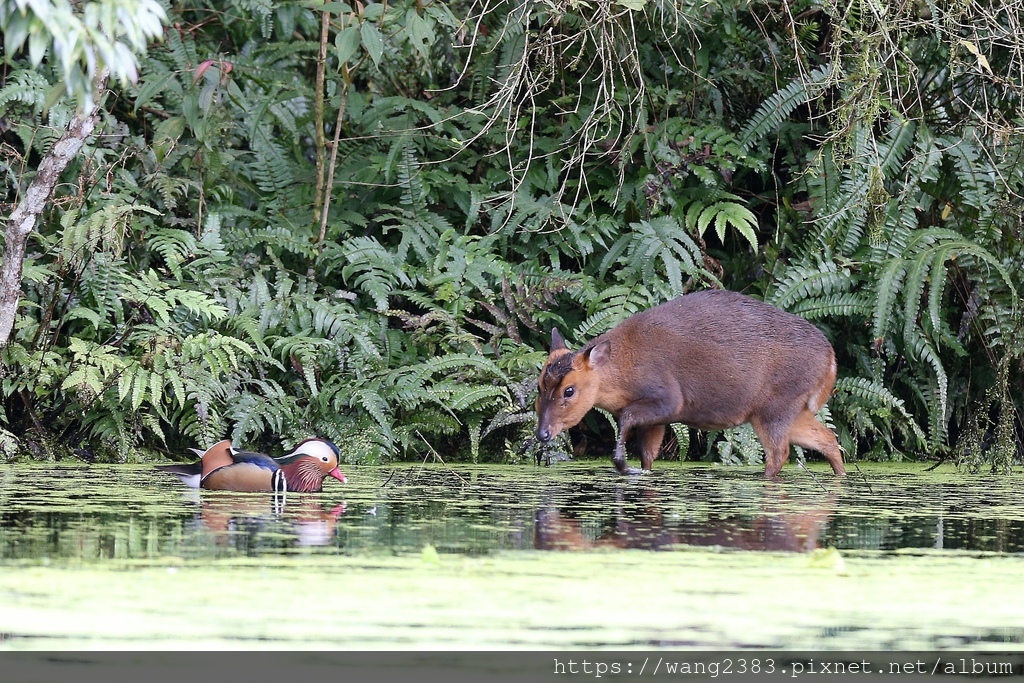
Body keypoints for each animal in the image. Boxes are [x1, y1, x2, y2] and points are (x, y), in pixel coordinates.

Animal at [536, 290, 847, 479]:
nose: (542, 433)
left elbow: (626, 420)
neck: (621, 373)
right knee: (829, 439)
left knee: (779, 453)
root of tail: (831, 360)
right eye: (539, 386)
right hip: (790, 408)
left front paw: (622, 464)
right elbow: (648, 456)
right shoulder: (658, 421)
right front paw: (636, 469)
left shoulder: (669, 400)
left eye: (569, 390)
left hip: (776, 407)